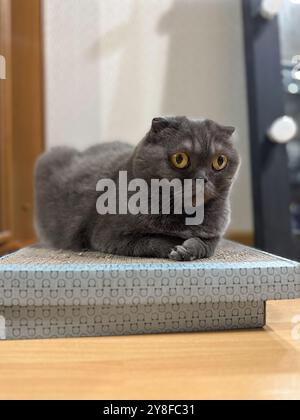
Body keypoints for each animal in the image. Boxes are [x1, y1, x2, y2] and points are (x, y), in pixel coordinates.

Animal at [34, 117, 241, 260]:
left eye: (220, 161)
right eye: (180, 158)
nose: (202, 179)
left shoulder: (214, 235)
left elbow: (206, 246)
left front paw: (189, 248)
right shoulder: (108, 235)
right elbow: (154, 240)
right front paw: (176, 248)